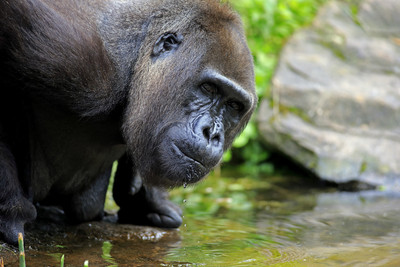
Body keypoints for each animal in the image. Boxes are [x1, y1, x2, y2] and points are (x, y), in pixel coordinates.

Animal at [0, 0, 256, 245]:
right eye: (208, 88)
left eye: (234, 106)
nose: (211, 134)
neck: (135, 62)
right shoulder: (73, 58)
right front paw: (12, 213)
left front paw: (144, 201)